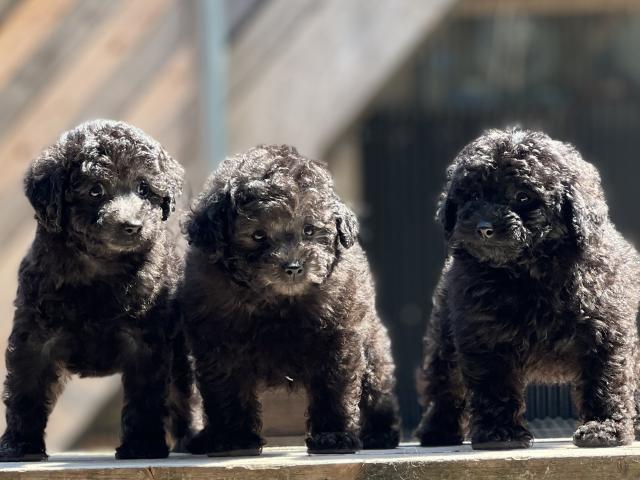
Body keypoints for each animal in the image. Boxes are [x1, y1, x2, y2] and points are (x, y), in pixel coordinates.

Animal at [0, 120, 191, 461]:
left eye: (143, 188)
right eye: (95, 190)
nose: (132, 226)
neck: (101, 268)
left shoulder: (146, 341)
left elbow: (145, 395)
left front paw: (142, 445)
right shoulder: (34, 337)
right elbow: (26, 390)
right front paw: (19, 446)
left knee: (182, 393)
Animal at [181, 144, 400, 455]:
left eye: (309, 229)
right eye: (258, 235)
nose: (294, 267)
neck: (275, 301)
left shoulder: (338, 336)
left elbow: (334, 386)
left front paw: (333, 436)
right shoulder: (219, 341)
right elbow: (228, 389)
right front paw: (236, 438)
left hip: (372, 343)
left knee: (377, 386)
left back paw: (380, 433)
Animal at [416, 128, 640, 450]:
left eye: (522, 196)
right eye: (473, 196)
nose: (484, 227)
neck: (527, 273)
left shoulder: (604, 331)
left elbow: (605, 380)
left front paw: (604, 429)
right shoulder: (483, 334)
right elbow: (493, 384)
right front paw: (500, 434)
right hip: (444, 336)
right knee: (445, 381)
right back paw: (438, 429)